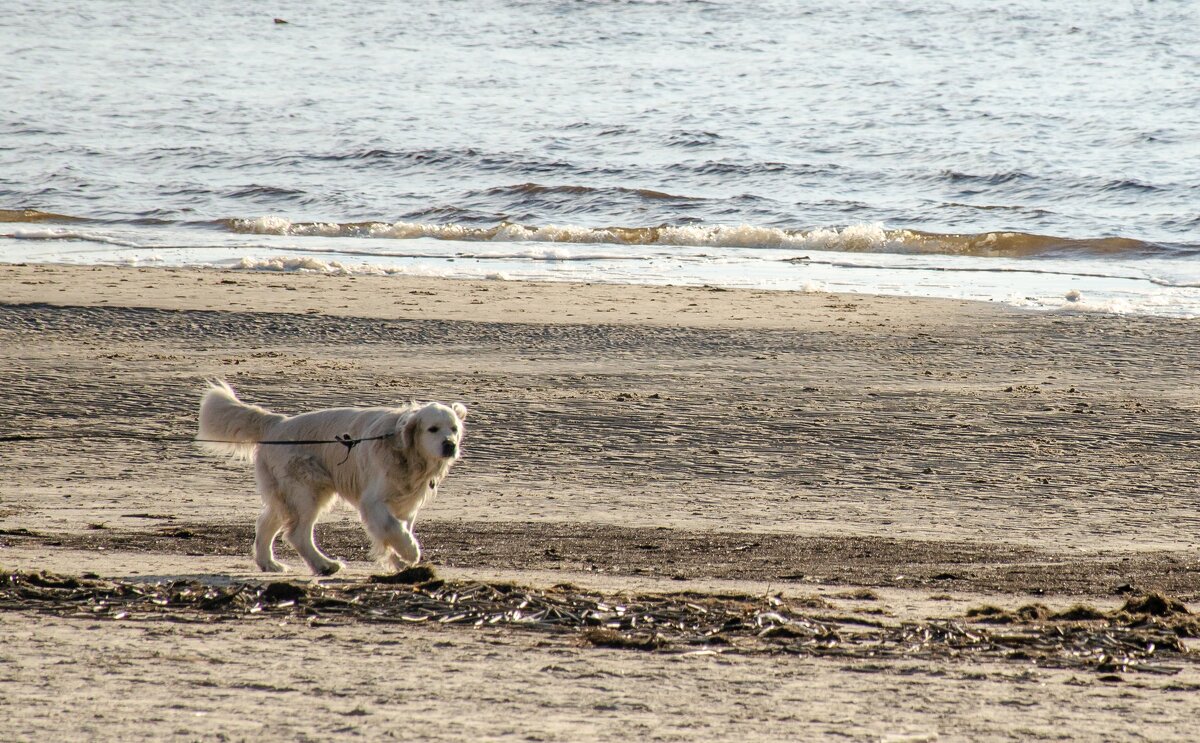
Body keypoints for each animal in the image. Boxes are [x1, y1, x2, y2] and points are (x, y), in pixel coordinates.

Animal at [196, 384, 463, 576]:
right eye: (432, 429)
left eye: (454, 428)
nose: (450, 445)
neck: (405, 450)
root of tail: (278, 423)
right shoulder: (373, 501)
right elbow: (391, 527)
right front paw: (410, 553)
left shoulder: (406, 503)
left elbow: (397, 529)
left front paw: (398, 561)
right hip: (307, 490)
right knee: (298, 534)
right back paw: (324, 564)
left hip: (286, 493)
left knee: (265, 523)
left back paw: (269, 564)